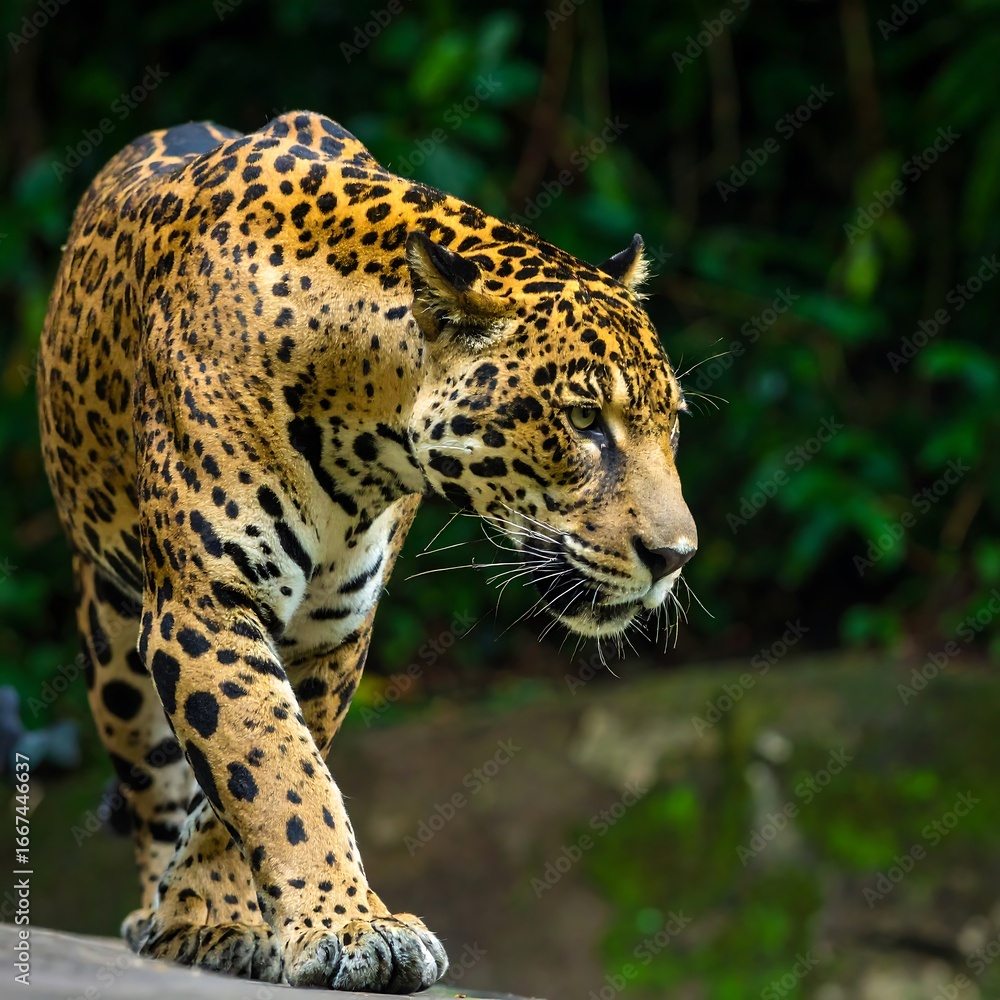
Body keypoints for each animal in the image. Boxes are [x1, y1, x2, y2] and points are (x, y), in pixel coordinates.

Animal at [36, 110, 697, 992]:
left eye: (673, 425)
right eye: (586, 420)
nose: (677, 555)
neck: (359, 425)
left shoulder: (332, 629)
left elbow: (264, 773)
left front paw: (240, 911)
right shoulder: (204, 605)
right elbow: (272, 768)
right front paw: (327, 927)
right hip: (111, 632)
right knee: (151, 784)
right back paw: (154, 913)